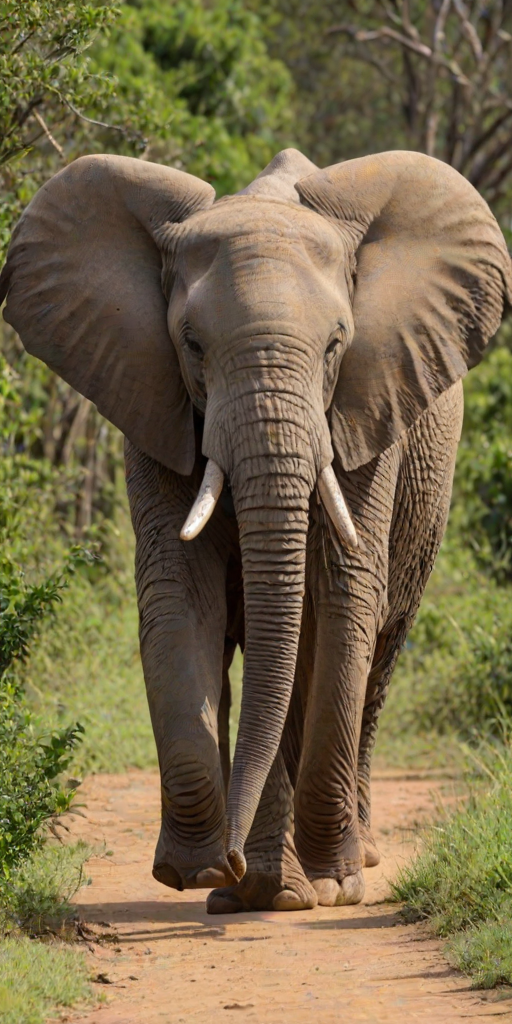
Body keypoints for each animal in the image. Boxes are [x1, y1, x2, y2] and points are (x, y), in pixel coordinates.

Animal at [1, 148, 511, 913]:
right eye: (191, 344)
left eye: (336, 344)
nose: (233, 861)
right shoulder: (154, 402)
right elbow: (181, 595)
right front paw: (201, 875)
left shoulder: (365, 406)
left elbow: (338, 603)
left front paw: (312, 887)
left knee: (377, 650)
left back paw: (345, 866)